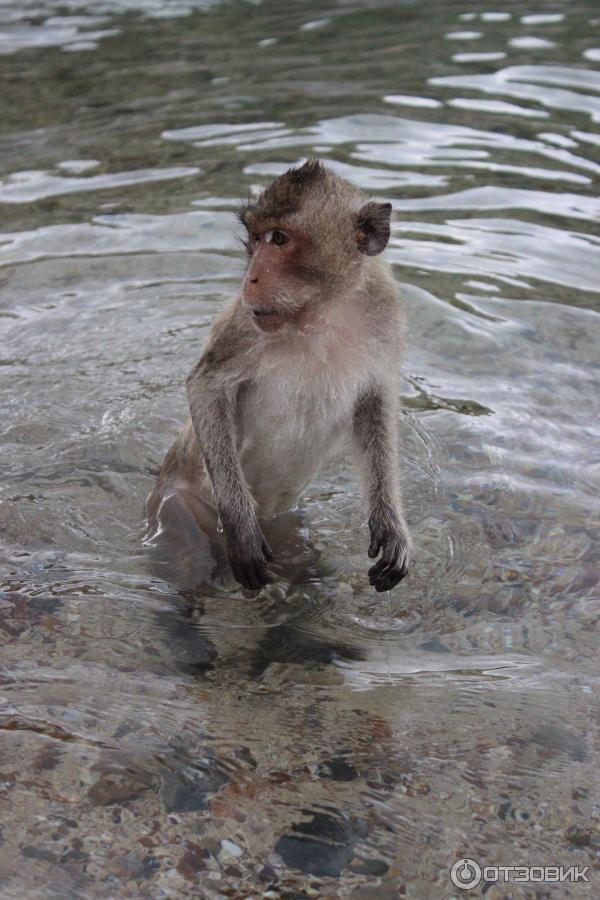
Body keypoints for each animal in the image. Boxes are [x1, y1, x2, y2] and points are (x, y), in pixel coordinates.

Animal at [147, 160, 410, 596]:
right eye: (255, 239)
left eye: (280, 239)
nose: (250, 278)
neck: (320, 314)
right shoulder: (243, 321)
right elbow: (206, 386)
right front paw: (241, 527)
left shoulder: (385, 314)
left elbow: (375, 407)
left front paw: (391, 527)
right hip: (177, 507)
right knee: (190, 562)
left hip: (286, 527)